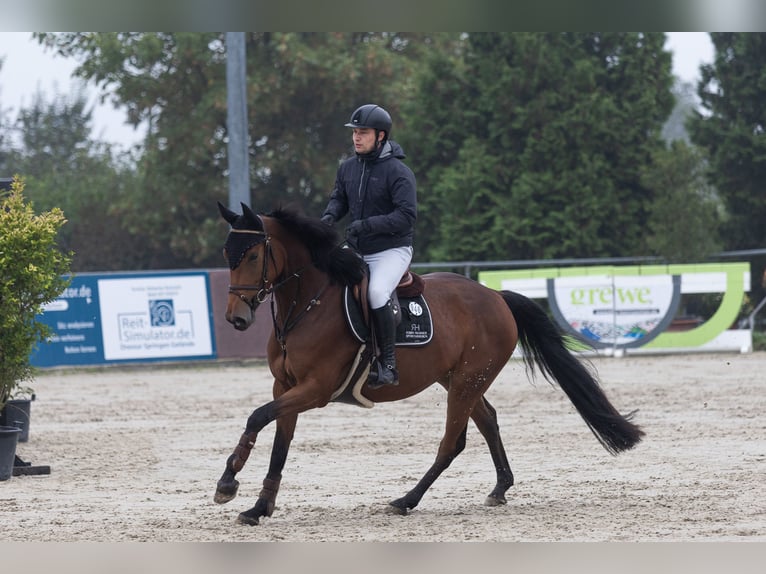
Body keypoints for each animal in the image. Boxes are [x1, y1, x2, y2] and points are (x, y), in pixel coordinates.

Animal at [213, 204, 644, 528]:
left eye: (253, 255)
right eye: (227, 256)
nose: (236, 318)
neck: (307, 304)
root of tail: (495, 296)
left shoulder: (315, 390)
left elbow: (257, 417)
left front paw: (228, 481)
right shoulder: (286, 387)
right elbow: (279, 443)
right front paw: (259, 506)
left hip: (467, 380)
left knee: (452, 441)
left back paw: (407, 499)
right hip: (460, 379)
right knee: (487, 421)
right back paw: (500, 488)